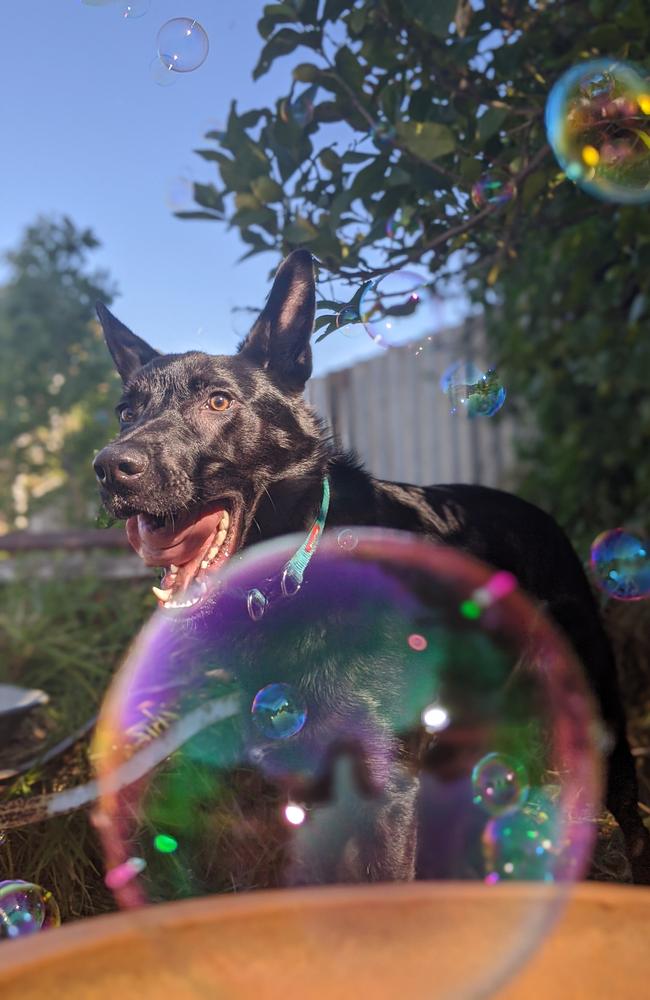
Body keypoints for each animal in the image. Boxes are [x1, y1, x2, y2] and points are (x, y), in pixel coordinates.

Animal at [92, 248, 648, 884]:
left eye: (218, 401)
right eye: (125, 412)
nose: (109, 468)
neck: (296, 576)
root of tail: (534, 511)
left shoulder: (388, 791)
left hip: (598, 712)